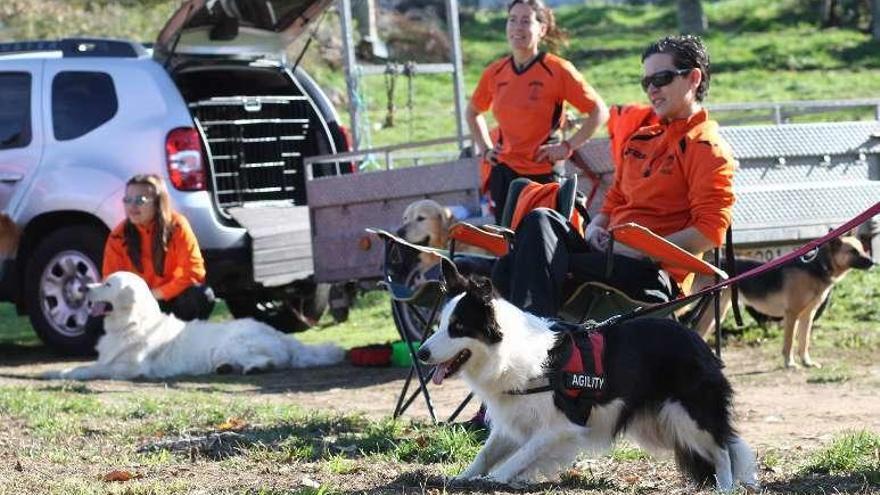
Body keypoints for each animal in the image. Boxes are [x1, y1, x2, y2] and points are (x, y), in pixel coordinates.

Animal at [44, 274, 346, 382]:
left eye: (107, 284)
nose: (84, 286)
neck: (131, 322)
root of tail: (284, 337)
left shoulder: (128, 368)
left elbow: (88, 369)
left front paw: (66, 374)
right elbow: (85, 365)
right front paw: (54, 371)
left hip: (233, 343)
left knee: (270, 361)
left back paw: (253, 368)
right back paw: (225, 368)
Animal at [418, 262, 756, 490]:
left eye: (458, 328)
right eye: (441, 324)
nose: (421, 353)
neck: (508, 351)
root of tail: (696, 339)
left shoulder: (560, 426)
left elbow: (519, 457)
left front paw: (496, 481)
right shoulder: (516, 419)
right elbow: (486, 454)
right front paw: (462, 478)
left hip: (690, 415)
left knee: (723, 448)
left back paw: (726, 486)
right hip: (661, 424)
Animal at [696, 236, 872, 368]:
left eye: (863, 248)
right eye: (853, 251)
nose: (872, 262)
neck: (818, 267)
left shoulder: (807, 316)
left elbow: (804, 341)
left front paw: (807, 362)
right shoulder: (792, 314)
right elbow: (789, 342)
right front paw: (790, 363)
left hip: (717, 312)